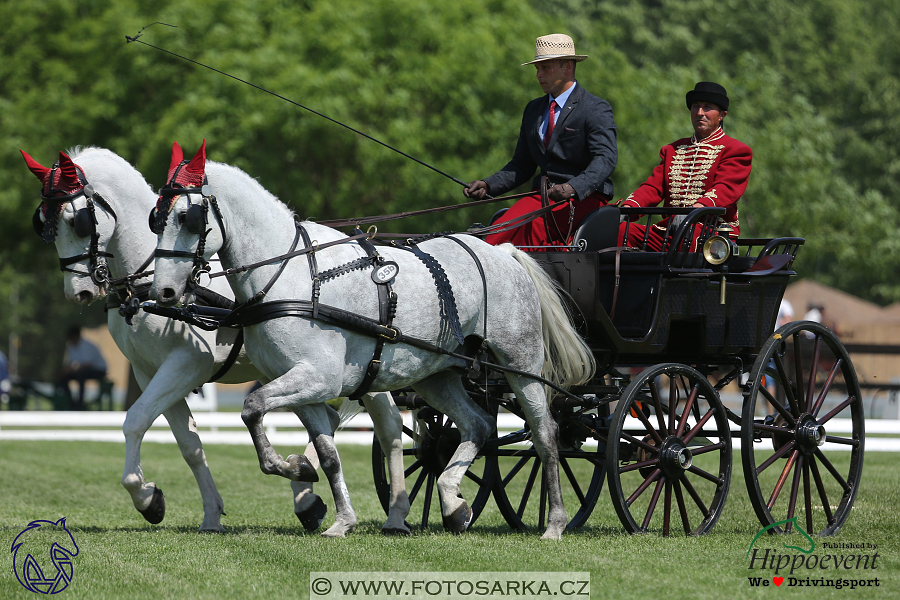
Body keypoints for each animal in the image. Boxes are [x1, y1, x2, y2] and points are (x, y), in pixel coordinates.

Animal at [23, 148, 412, 536]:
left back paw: (394, 513)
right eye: (42, 222)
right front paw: (203, 512)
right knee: (331, 421)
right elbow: (190, 446)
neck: (148, 282)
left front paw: (146, 498)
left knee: (389, 428)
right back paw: (307, 494)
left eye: (76, 220)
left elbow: (135, 420)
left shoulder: (186, 365)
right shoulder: (149, 373)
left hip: (363, 372)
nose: (79, 292)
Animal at [150, 142, 596, 540]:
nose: (163, 292)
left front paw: (291, 468)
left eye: (188, 217)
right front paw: (336, 513)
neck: (291, 274)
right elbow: (327, 455)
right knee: (479, 424)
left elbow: (252, 407)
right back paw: (453, 503)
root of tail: (503, 251)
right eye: (157, 218)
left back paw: (554, 523)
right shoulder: (303, 386)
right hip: (436, 375)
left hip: (522, 365)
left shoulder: (318, 378)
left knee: (544, 435)